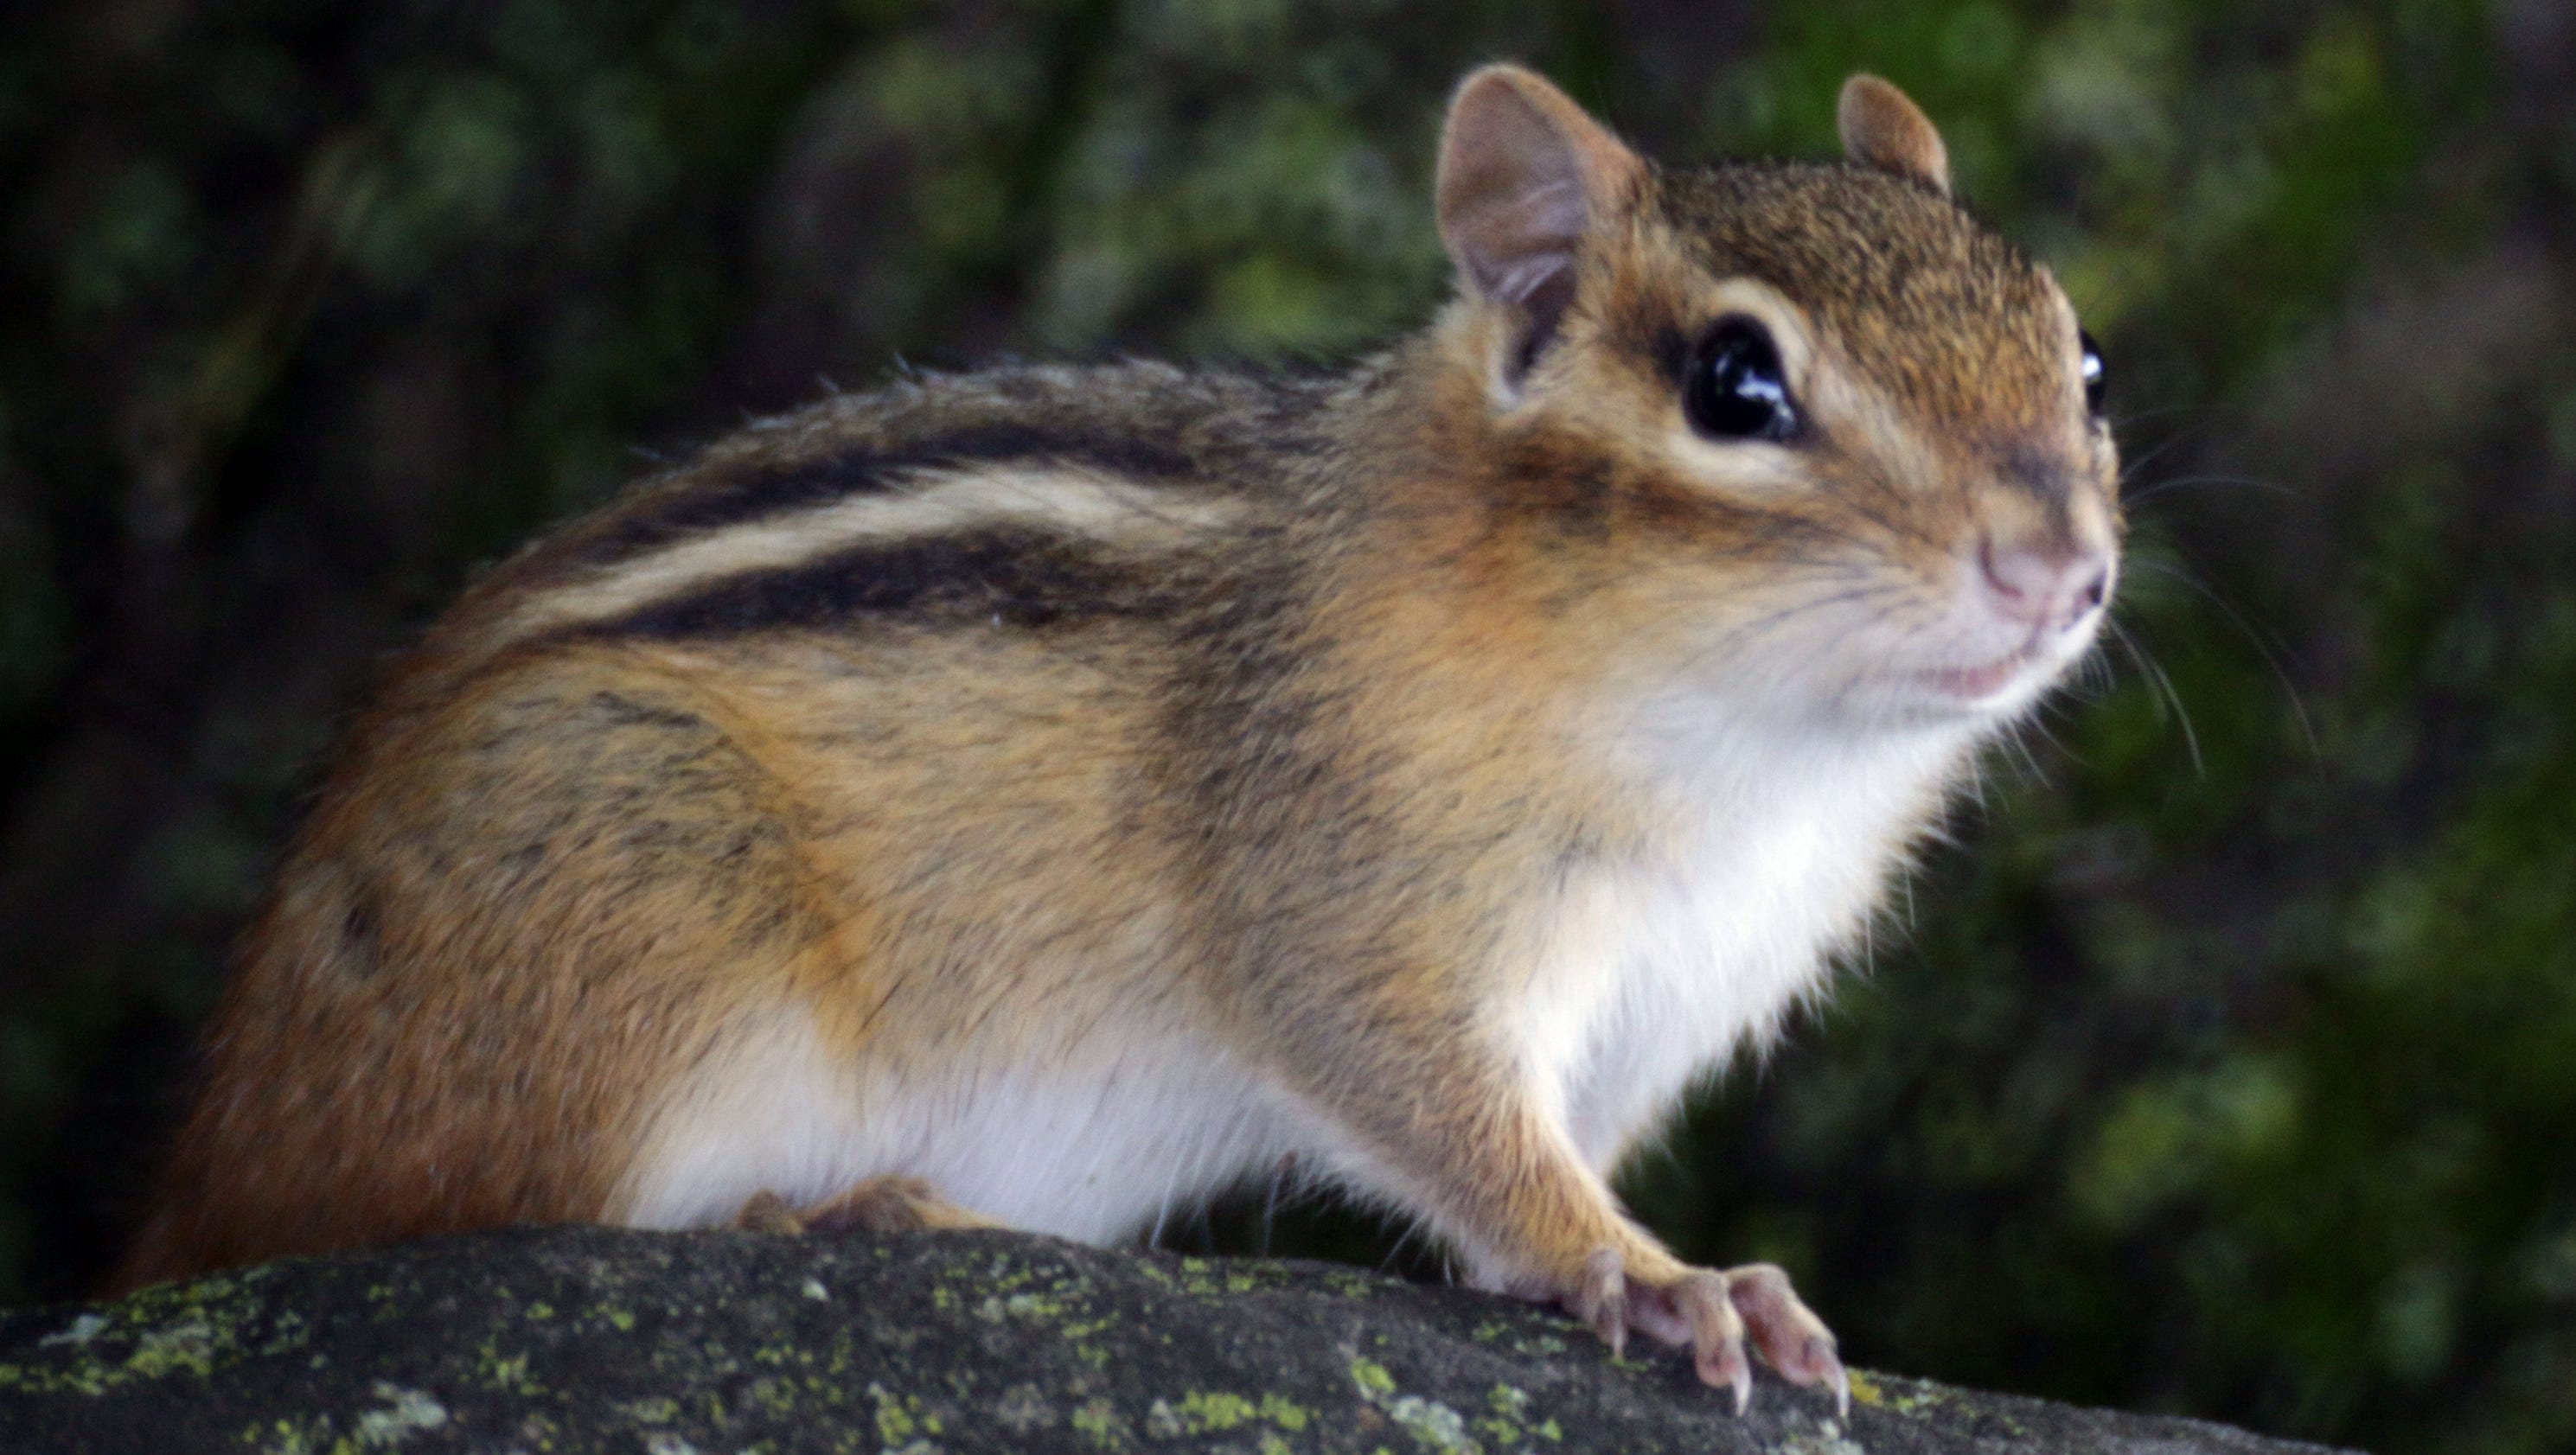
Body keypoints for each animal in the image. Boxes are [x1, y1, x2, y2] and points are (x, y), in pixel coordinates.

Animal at [112, 65, 2118, 1415]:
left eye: (2080, 360)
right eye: (1734, 385)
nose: (2062, 567)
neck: (1760, 752)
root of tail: (217, 1125)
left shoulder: (1662, 1005)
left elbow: (1554, 1152)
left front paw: (1699, 1269)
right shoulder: (1346, 900)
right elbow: (1459, 1132)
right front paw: (1648, 1273)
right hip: (623, 862)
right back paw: (837, 1212)